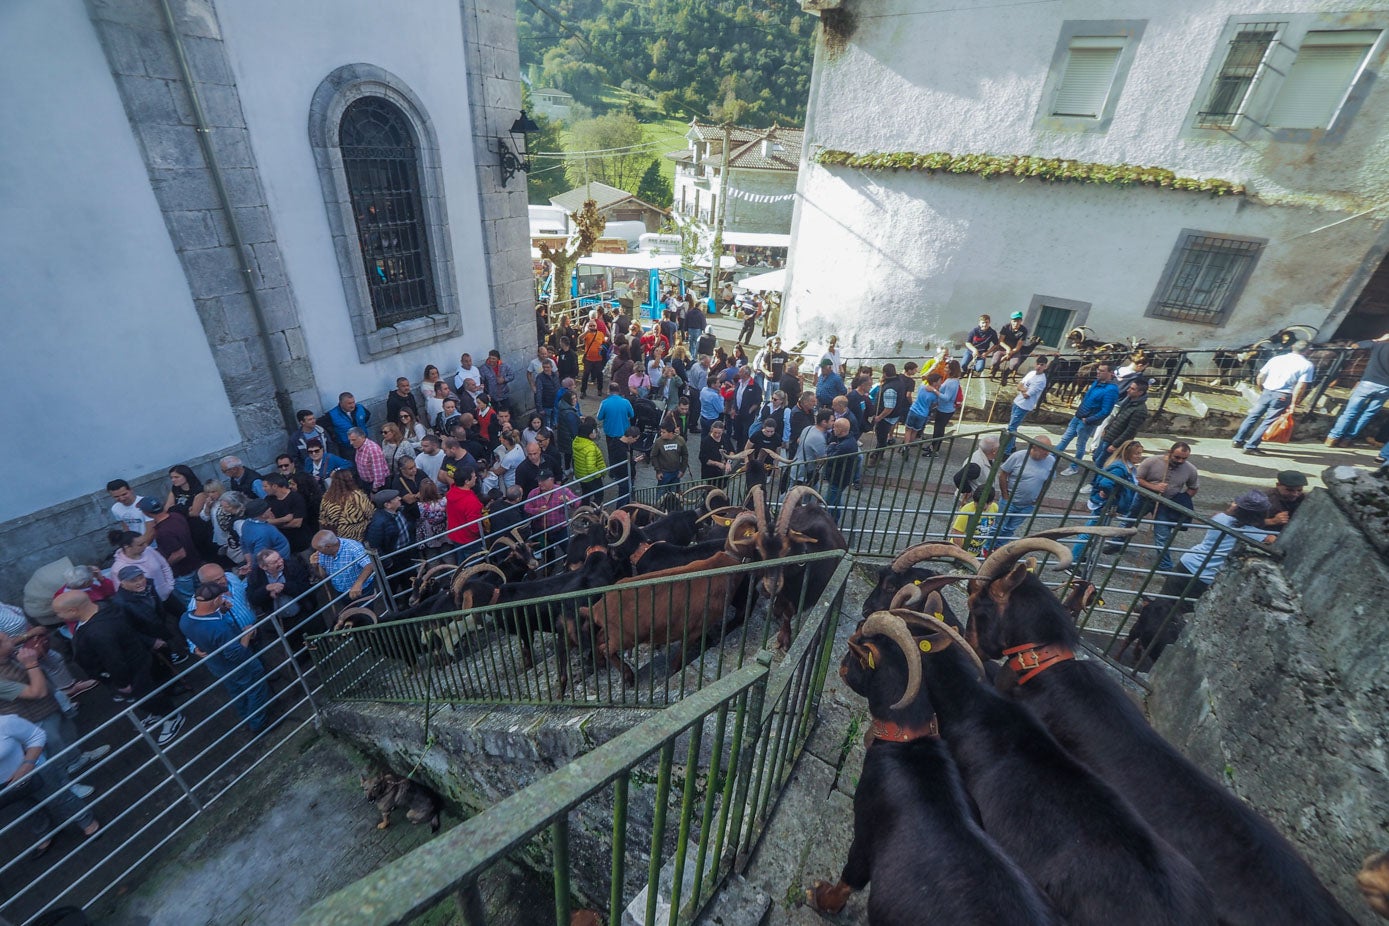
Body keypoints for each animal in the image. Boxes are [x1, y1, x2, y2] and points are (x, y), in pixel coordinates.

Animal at [805, 610, 1061, 921]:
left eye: (855, 649)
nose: (841, 667)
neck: (911, 744)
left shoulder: (866, 826)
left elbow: (851, 876)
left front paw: (820, 896)